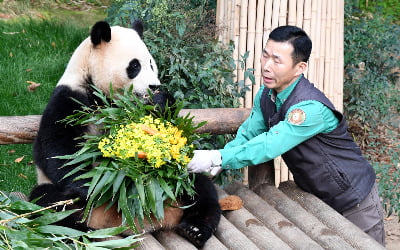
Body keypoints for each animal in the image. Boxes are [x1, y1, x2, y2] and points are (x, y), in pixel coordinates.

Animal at [28, 20, 222, 248]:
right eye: (135, 66)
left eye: (151, 64)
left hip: (179, 183)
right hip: (60, 199)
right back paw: (80, 233)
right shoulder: (70, 99)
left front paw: (160, 102)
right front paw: (92, 185)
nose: (154, 85)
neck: (104, 98)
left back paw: (195, 231)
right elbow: (57, 151)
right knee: (49, 204)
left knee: (201, 190)